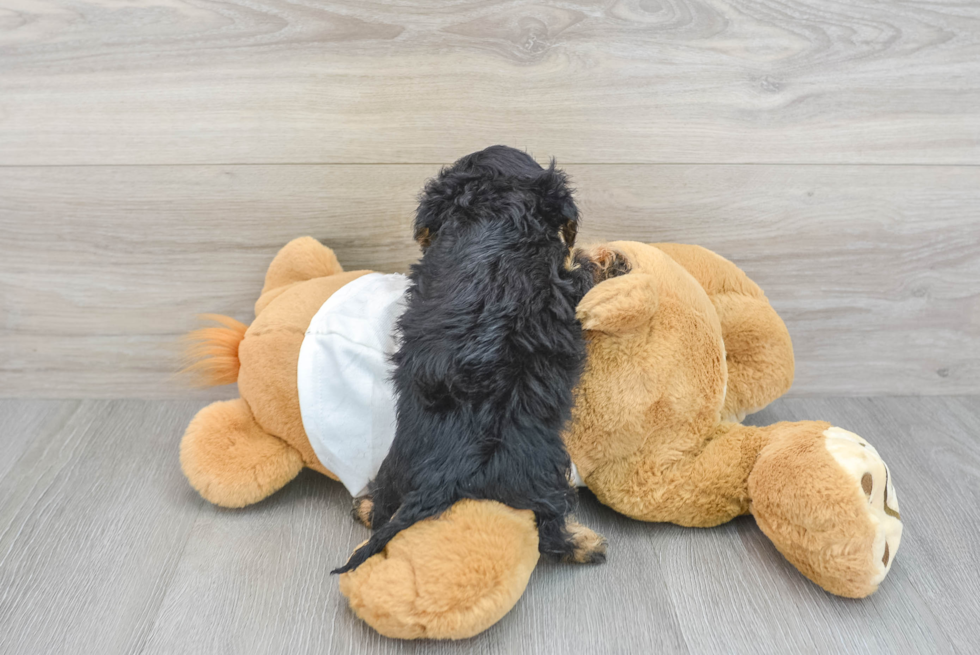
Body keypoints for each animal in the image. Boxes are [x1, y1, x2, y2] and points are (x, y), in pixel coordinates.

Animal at [334, 145, 604, 576]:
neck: (494, 214)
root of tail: (447, 471)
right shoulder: (566, 284)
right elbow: (580, 266)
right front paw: (595, 253)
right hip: (541, 468)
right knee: (550, 527)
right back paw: (585, 543)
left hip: (397, 464)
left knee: (382, 506)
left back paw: (364, 505)